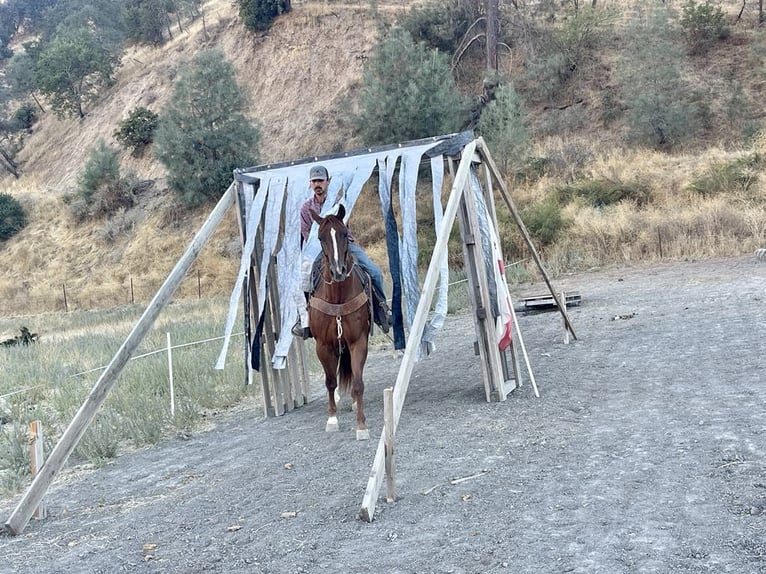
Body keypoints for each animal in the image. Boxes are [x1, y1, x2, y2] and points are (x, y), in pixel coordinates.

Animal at [310, 206, 374, 440]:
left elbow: (358, 383)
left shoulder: (358, 342)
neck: (337, 298)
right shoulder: (323, 345)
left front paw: (361, 425)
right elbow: (330, 382)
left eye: (345, 234)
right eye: (320, 238)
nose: (338, 271)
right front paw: (332, 419)